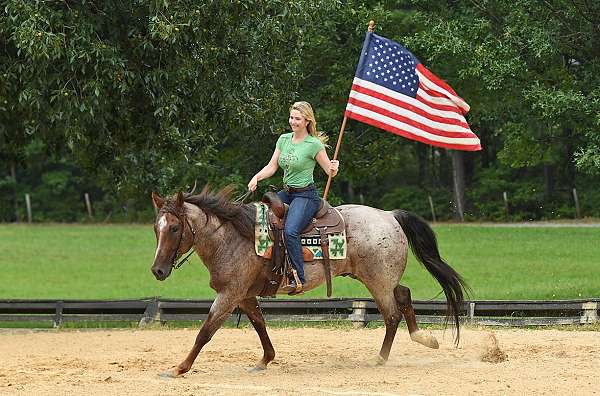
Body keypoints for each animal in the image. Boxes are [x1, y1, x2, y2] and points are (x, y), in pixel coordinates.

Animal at [150, 186, 468, 378]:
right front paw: (265, 359)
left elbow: (205, 332)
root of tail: (390, 215)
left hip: (378, 280)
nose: (157, 271)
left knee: (391, 314)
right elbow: (259, 324)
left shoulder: (230, 294)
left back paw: (380, 358)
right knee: (404, 294)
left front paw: (179, 368)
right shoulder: (244, 294)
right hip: (383, 278)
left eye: (175, 228)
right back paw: (423, 338)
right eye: (157, 227)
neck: (233, 236)